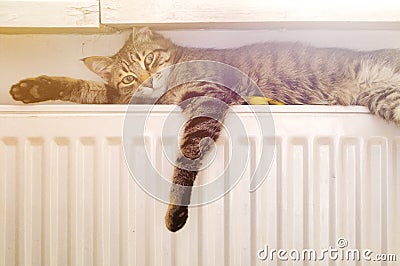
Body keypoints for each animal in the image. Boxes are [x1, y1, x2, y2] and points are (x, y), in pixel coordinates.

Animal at [10, 26, 400, 231]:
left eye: (149, 59)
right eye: (128, 76)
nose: (149, 79)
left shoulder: (208, 98)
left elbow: (187, 156)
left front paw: (176, 210)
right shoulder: (126, 98)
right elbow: (82, 87)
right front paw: (30, 89)